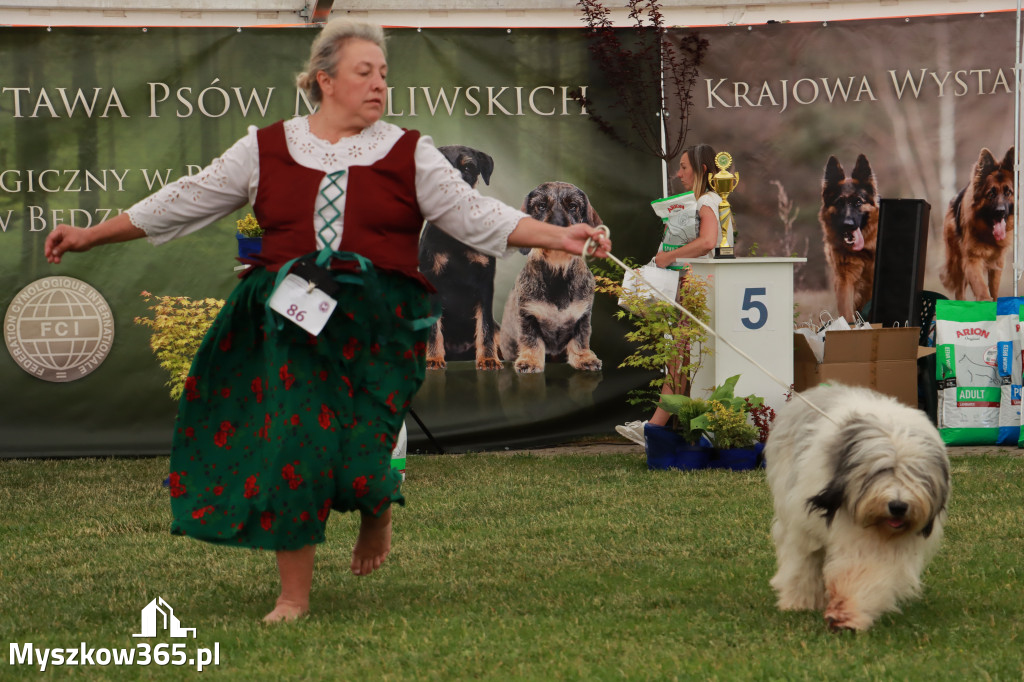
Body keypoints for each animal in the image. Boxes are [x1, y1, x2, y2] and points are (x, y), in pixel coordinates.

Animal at [765, 385, 946, 630]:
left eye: (915, 474)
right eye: (882, 470)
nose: (898, 506)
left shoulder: (878, 545)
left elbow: (867, 571)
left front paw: (847, 614)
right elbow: (806, 561)